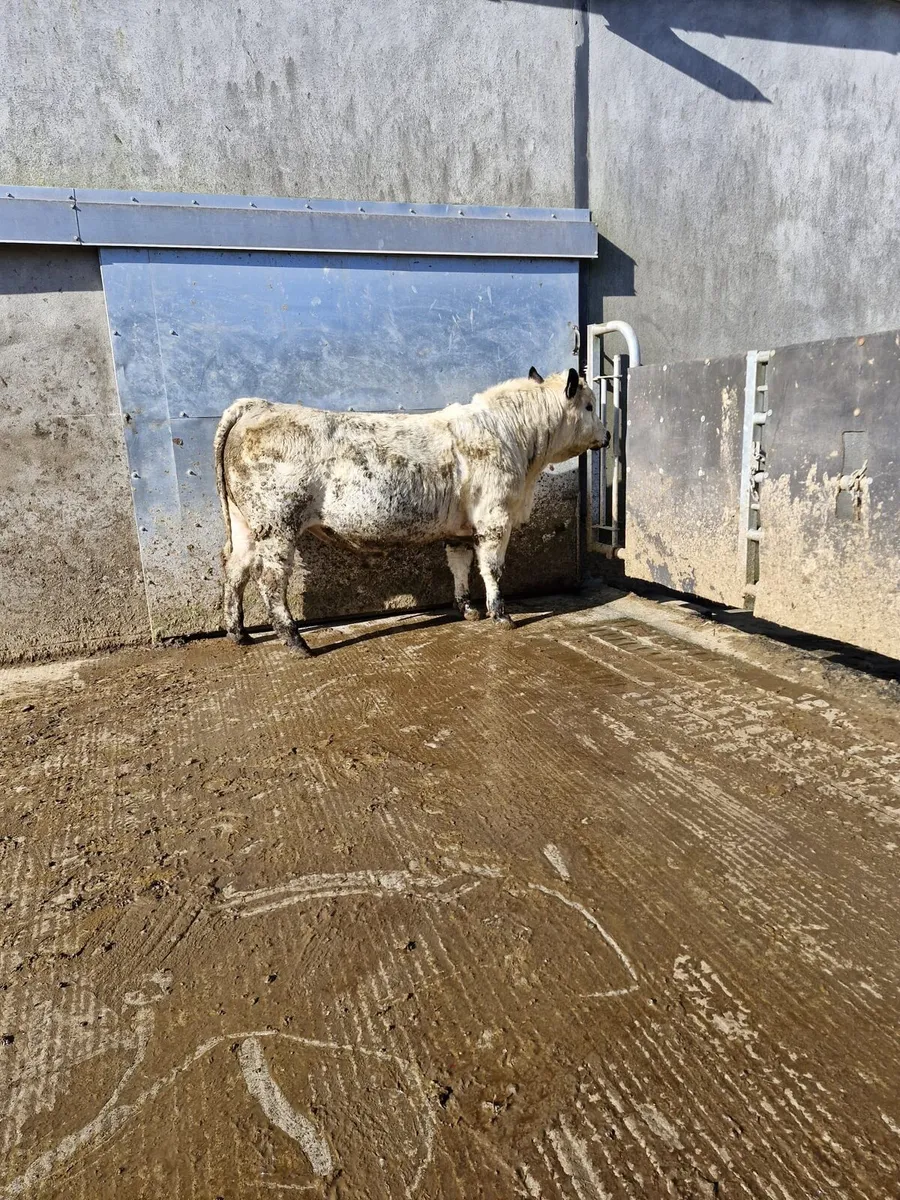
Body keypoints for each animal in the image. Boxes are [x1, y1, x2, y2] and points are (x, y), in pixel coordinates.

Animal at [213, 367, 609, 656]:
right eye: (590, 406)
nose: (606, 436)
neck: (514, 437)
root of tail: (260, 405)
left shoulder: (460, 528)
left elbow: (460, 564)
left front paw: (468, 609)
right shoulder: (495, 518)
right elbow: (492, 568)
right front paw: (501, 614)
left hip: (246, 525)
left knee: (236, 571)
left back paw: (239, 633)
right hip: (277, 525)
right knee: (270, 581)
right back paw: (296, 642)